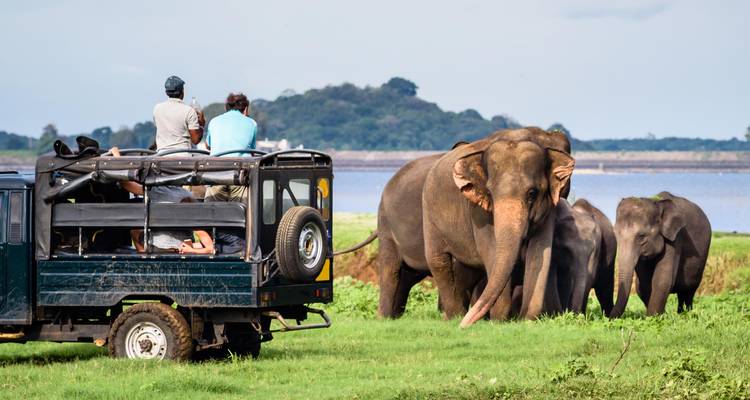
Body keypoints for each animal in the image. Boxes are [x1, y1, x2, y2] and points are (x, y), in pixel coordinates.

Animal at [422, 128, 575, 327]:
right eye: (490, 193)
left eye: (532, 193)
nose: (464, 326)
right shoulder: (478, 212)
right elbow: (492, 252)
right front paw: (499, 321)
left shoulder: (549, 208)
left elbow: (540, 253)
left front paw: (526, 320)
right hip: (429, 214)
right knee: (438, 260)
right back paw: (454, 317)